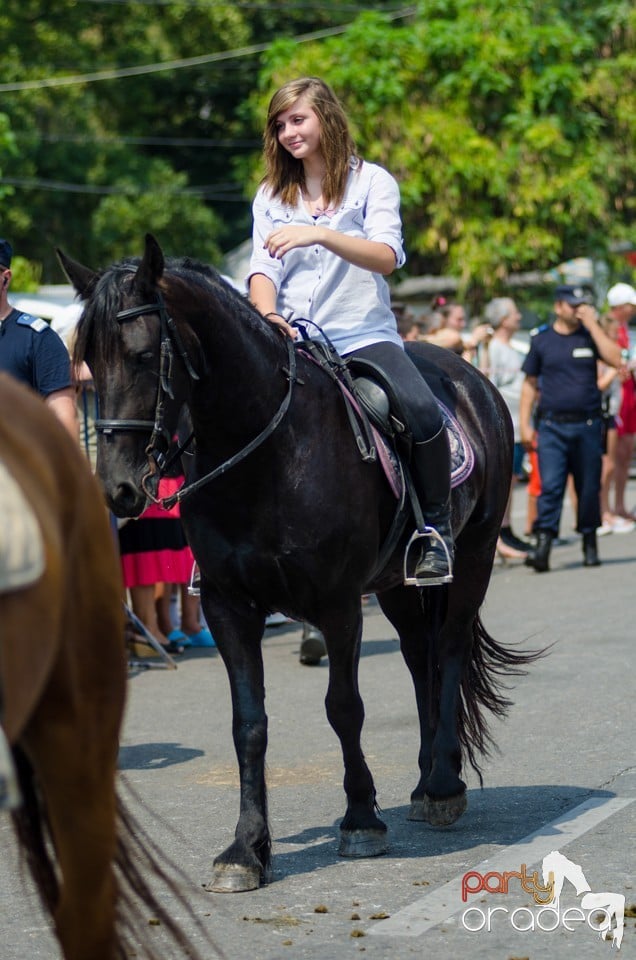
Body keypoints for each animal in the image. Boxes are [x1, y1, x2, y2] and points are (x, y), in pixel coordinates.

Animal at [58, 236, 536, 896]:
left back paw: (442, 786)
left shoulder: (337, 602)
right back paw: (424, 783)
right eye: (85, 363)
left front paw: (361, 820)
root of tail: (471, 377)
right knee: (421, 658)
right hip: (395, 585)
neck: (267, 452)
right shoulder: (228, 605)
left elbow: (344, 707)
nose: (118, 489)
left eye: (143, 354)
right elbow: (248, 723)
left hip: (473, 556)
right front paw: (245, 849)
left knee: (451, 649)